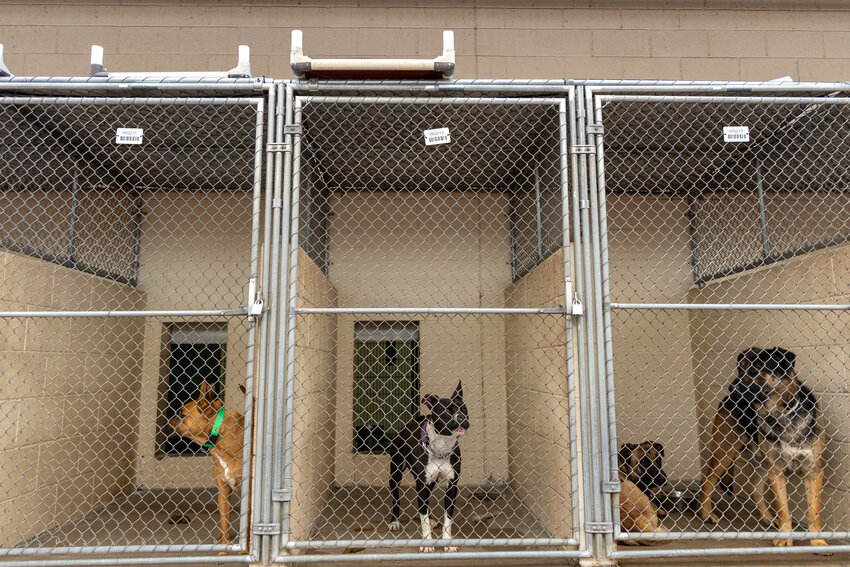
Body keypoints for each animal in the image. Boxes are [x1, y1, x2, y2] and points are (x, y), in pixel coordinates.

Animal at [386, 384, 468, 552]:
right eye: (447, 410)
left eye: (464, 409)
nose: (462, 417)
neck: (441, 447)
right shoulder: (421, 485)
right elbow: (423, 520)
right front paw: (427, 543)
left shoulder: (451, 486)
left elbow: (448, 519)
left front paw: (447, 542)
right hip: (395, 473)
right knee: (396, 497)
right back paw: (394, 521)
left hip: (430, 481)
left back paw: (431, 519)